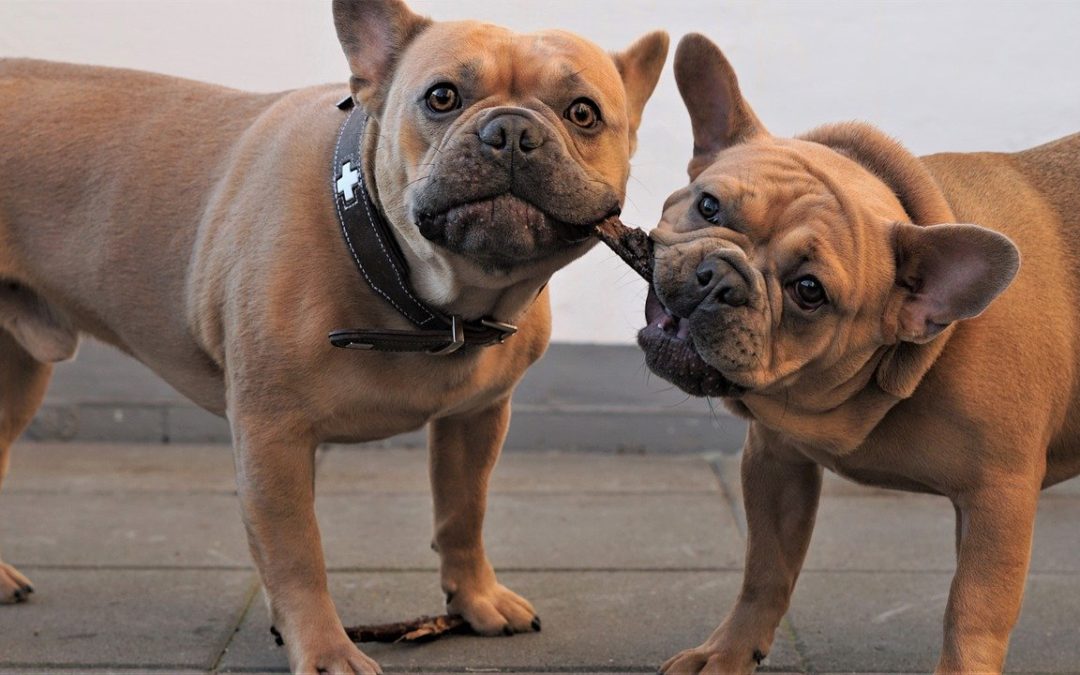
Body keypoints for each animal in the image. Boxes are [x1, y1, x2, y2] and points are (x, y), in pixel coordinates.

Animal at [0, 2, 669, 669]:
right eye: (442, 97)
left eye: (582, 112)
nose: (509, 130)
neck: (425, 296)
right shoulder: (272, 438)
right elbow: (297, 553)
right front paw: (325, 650)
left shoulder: (476, 417)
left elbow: (462, 512)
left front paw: (476, 599)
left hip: (18, 379)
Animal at [635, 34, 1075, 673]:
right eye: (709, 206)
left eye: (809, 291)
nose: (721, 279)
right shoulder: (776, 459)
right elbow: (766, 568)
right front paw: (729, 651)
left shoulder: (1000, 499)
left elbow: (974, 612)